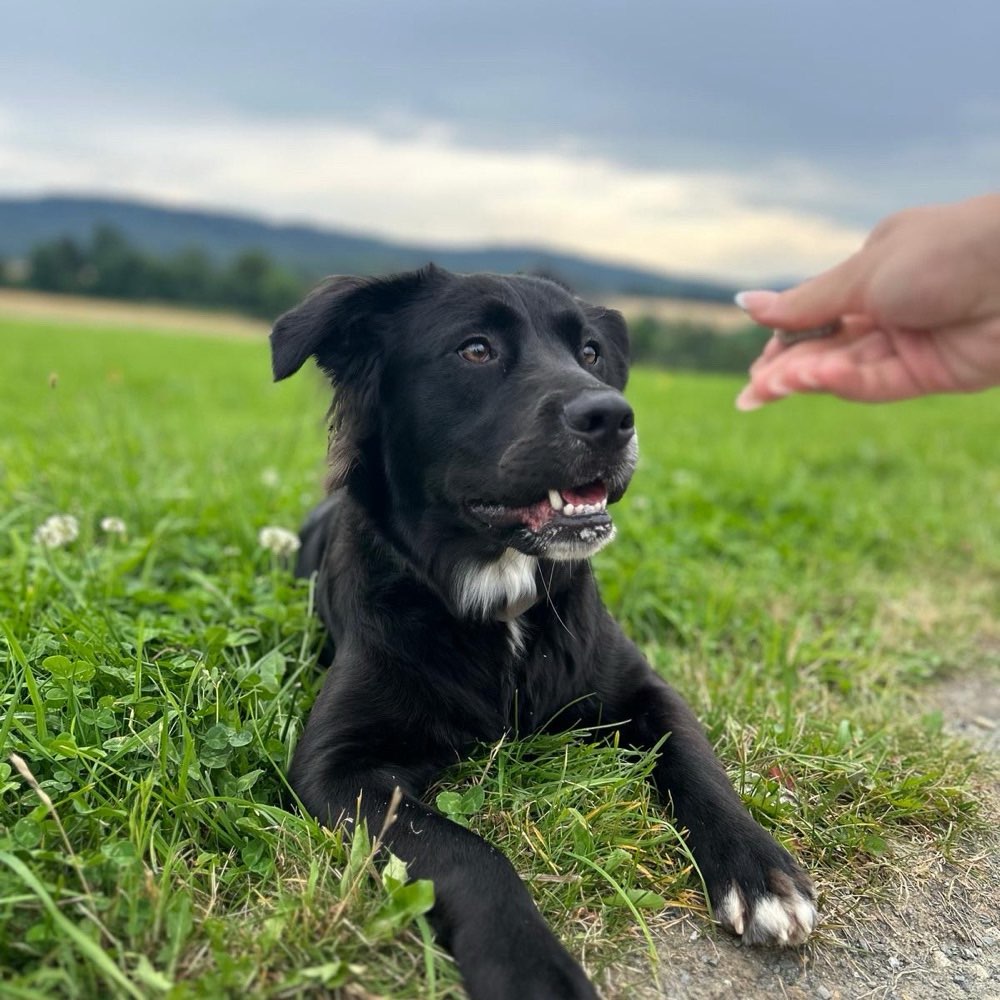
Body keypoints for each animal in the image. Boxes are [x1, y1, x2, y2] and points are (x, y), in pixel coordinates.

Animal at [270, 266, 816, 1000]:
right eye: (475, 349)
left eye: (589, 352)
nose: (613, 416)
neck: (502, 598)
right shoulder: (337, 766)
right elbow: (467, 851)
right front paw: (533, 968)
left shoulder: (644, 689)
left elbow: (699, 764)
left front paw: (759, 871)